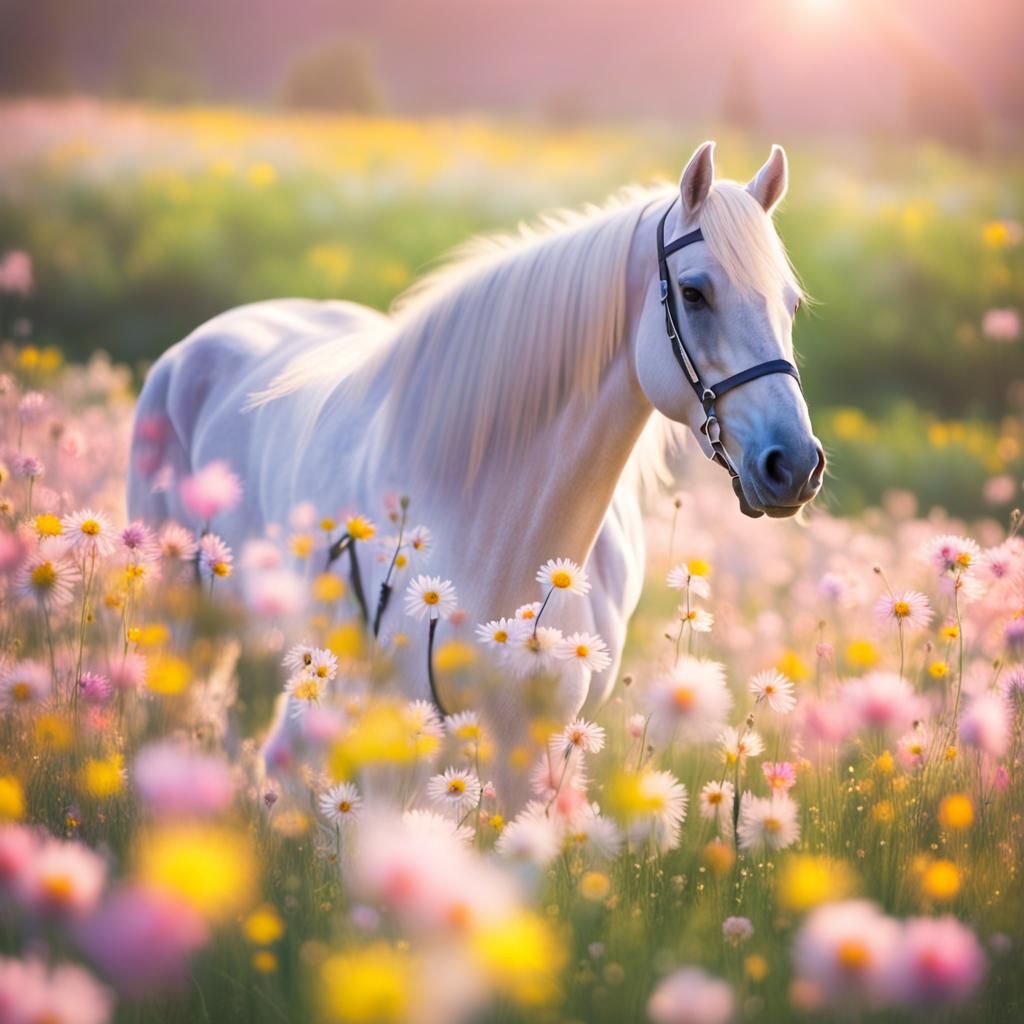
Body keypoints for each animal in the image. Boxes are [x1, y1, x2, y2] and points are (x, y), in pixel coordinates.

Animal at [127, 141, 825, 801]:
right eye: (695, 293)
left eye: (790, 305)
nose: (794, 465)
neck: (499, 529)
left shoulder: (541, 744)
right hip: (187, 629)